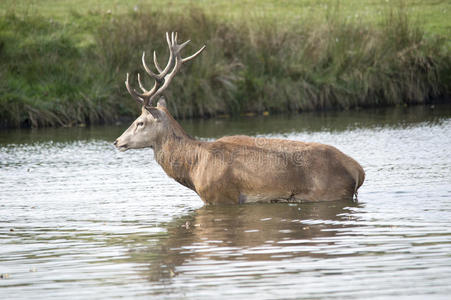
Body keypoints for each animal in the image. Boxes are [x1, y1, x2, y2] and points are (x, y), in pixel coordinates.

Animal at [115, 33, 366, 206]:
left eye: (140, 122)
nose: (117, 141)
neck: (194, 167)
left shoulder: (221, 197)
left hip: (328, 192)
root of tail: (358, 171)